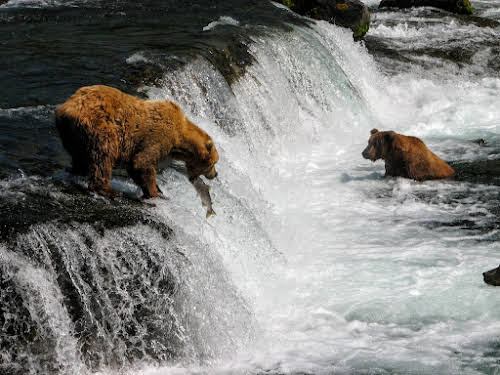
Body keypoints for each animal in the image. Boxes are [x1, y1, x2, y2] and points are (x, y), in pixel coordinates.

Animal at [55, 84, 218, 198]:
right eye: (214, 162)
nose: (215, 174)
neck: (180, 138)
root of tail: (67, 107)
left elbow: (134, 167)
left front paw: (157, 190)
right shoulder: (158, 137)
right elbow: (142, 162)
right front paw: (154, 192)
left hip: (71, 133)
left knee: (79, 155)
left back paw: (78, 171)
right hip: (99, 127)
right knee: (103, 157)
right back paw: (110, 190)